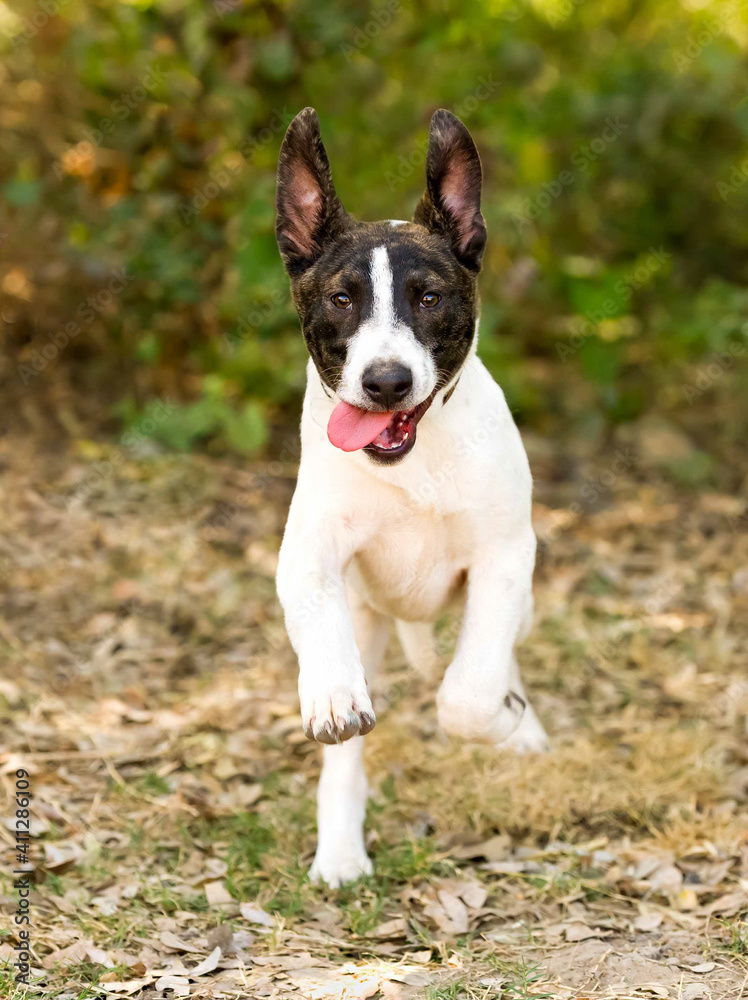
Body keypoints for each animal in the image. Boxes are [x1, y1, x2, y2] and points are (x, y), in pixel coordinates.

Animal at [274, 109, 544, 888]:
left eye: (429, 298)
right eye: (342, 299)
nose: (386, 381)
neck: (412, 462)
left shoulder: (505, 558)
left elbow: (470, 693)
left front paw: (504, 721)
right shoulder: (307, 556)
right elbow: (322, 643)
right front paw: (332, 695)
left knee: (497, 653)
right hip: (366, 618)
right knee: (346, 758)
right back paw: (340, 851)